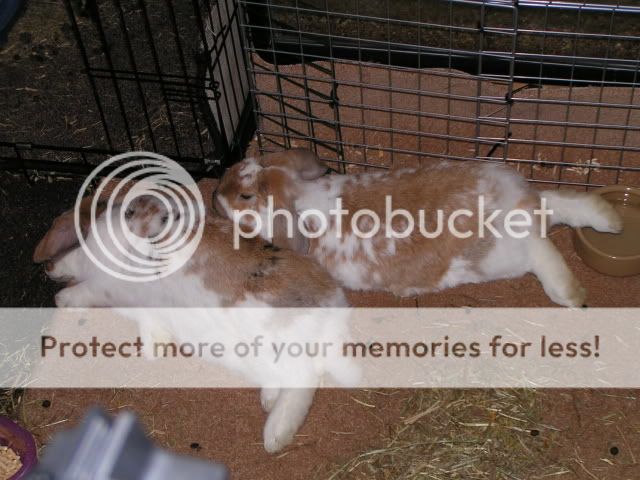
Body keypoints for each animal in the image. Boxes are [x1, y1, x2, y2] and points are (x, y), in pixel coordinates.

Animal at [33, 189, 350, 452]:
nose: (48, 268)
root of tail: (333, 299)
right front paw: (155, 346)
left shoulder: (103, 285)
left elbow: (84, 288)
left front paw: (62, 299)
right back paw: (269, 401)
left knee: (303, 379)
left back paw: (274, 435)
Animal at [212, 149, 624, 308]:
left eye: (245, 195)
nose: (216, 193)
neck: (302, 198)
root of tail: (519, 206)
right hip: (536, 206)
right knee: (562, 204)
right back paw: (611, 219)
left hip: (505, 254)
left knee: (542, 252)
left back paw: (573, 295)